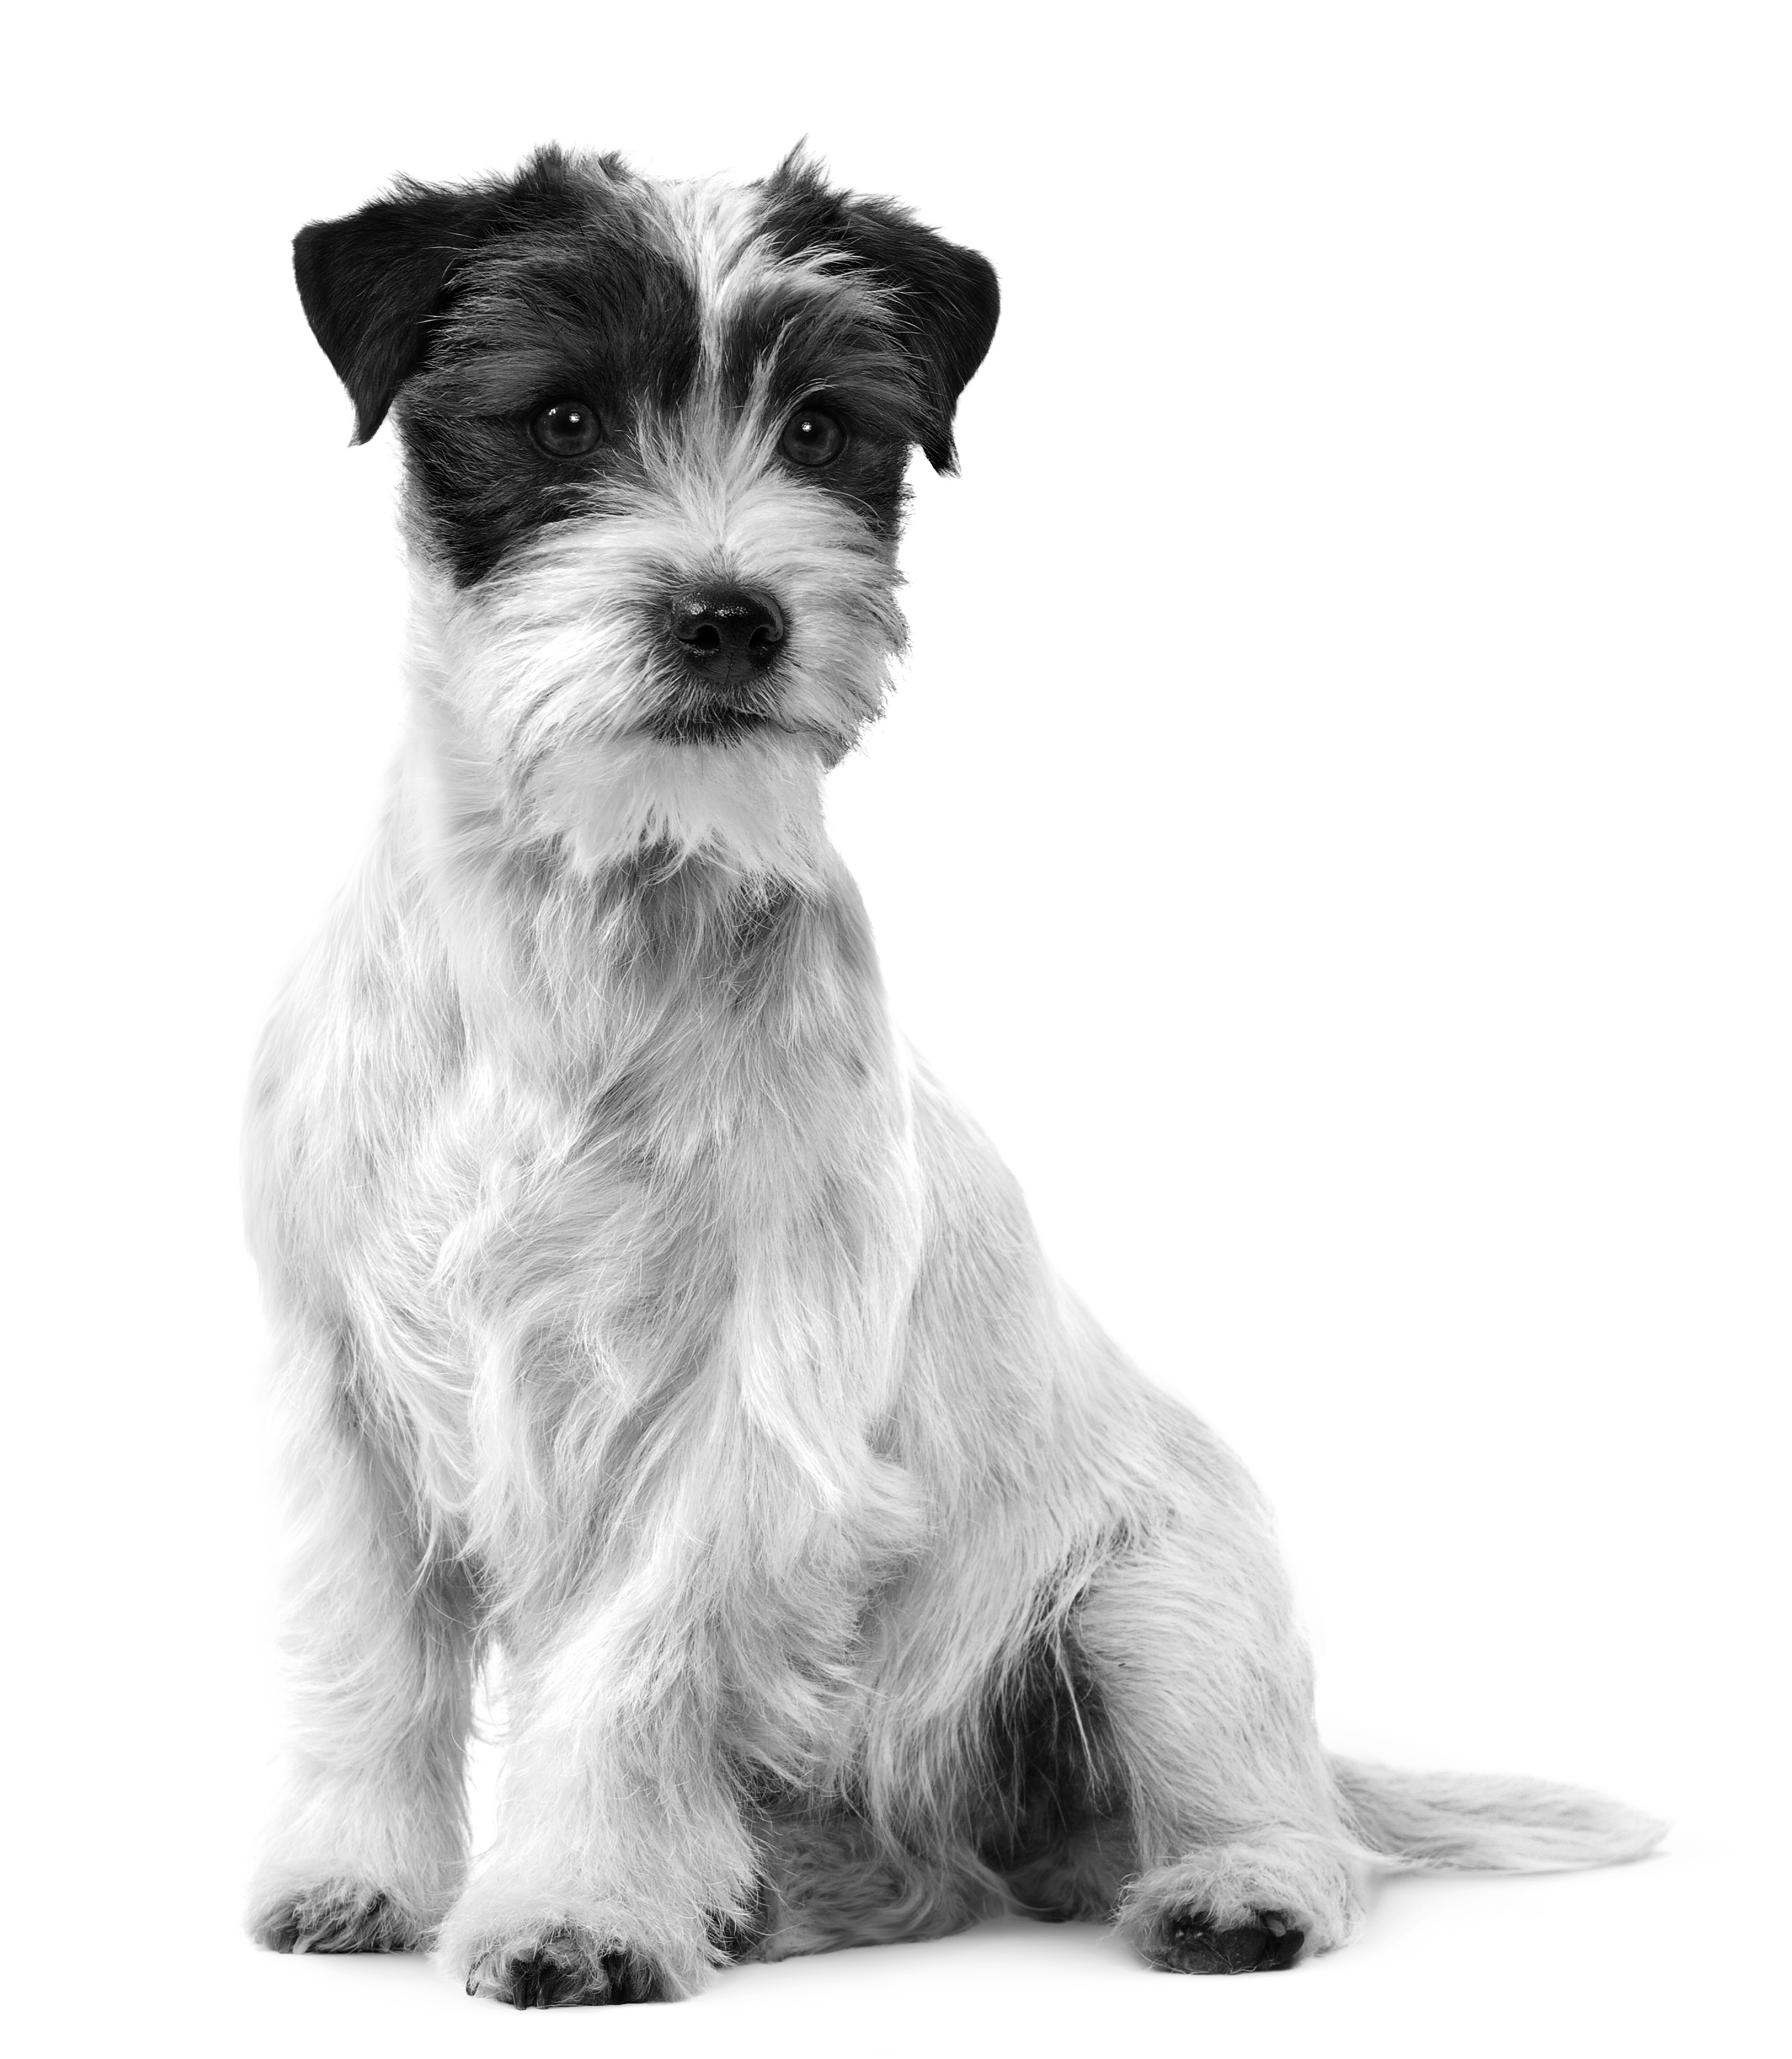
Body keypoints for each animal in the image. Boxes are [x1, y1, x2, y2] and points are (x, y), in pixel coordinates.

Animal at [245, 149, 1664, 2009]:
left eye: (825, 428)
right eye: (559, 416)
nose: (731, 614)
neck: (584, 916)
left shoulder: (738, 1423)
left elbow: (626, 1677)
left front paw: (580, 1905)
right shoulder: (346, 1395)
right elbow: (366, 1665)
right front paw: (356, 1871)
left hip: (1160, 1608)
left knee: (1276, 1815)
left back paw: (1232, 1886)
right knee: (923, 1875)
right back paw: (772, 1891)